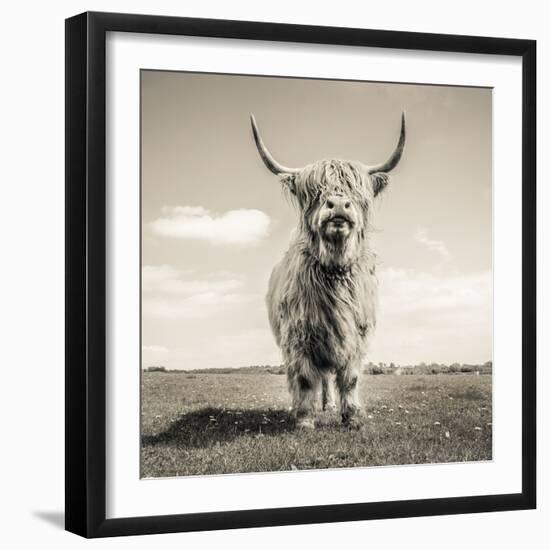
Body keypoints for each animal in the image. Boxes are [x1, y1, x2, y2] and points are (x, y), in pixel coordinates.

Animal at [252, 113, 408, 432]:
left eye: (357, 191)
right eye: (313, 192)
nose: (337, 205)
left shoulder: (357, 336)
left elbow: (350, 378)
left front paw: (353, 417)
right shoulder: (298, 337)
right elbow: (303, 378)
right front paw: (304, 419)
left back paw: (330, 405)